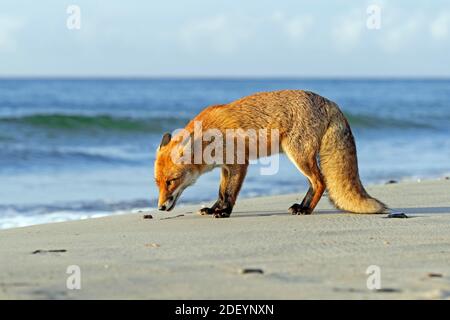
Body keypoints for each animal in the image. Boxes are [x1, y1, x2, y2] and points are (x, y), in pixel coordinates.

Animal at [155, 91, 386, 219]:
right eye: (158, 183)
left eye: (171, 181)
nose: (160, 207)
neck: (208, 138)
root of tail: (330, 102)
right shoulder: (225, 167)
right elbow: (221, 192)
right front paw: (214, 209)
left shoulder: (239, 163)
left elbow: (229, 194)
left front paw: (224, 212)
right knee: (314, 183)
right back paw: (301, 206)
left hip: (299, 156)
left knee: (320, 182)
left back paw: (307, 210)